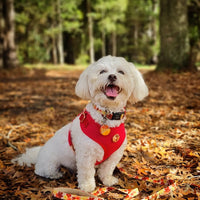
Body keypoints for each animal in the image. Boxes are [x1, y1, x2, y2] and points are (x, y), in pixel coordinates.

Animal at [11, 55, 148, 192]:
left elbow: (107, 169)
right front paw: (87, 187)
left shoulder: (114, 154)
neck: (107, 115)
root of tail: (39, 153)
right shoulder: (86, 154)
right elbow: (87, 172)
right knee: (41, 170)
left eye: (121, 72)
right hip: (50, 162)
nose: (112, 76)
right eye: (102, 71)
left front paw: (107, 180)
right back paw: (56, 174)